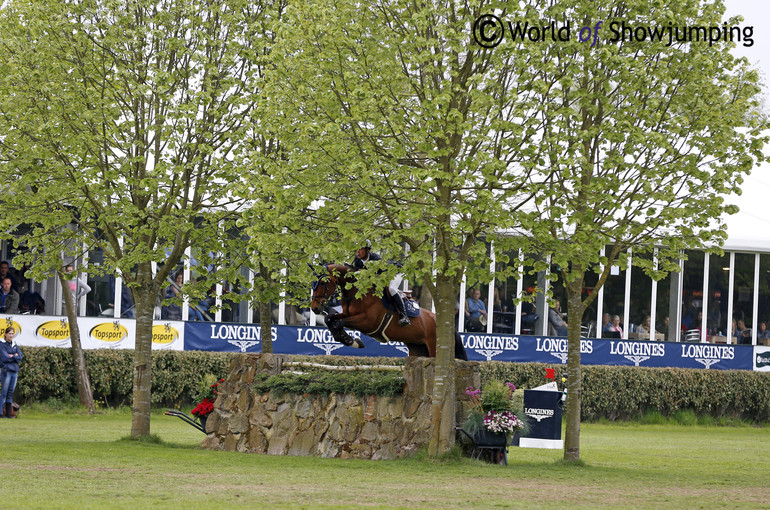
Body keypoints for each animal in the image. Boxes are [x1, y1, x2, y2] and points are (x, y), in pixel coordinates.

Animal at [308, 264, 464, 360]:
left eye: (323, 283)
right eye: (312, 283)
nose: (315, 308)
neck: (357, 292)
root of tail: (447, 324)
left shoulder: (367, 322)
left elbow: (339, 323)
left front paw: (351, 341)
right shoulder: (348, 314)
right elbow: (330, 319)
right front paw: (349, 340)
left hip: (434, 348)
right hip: (417, 348)